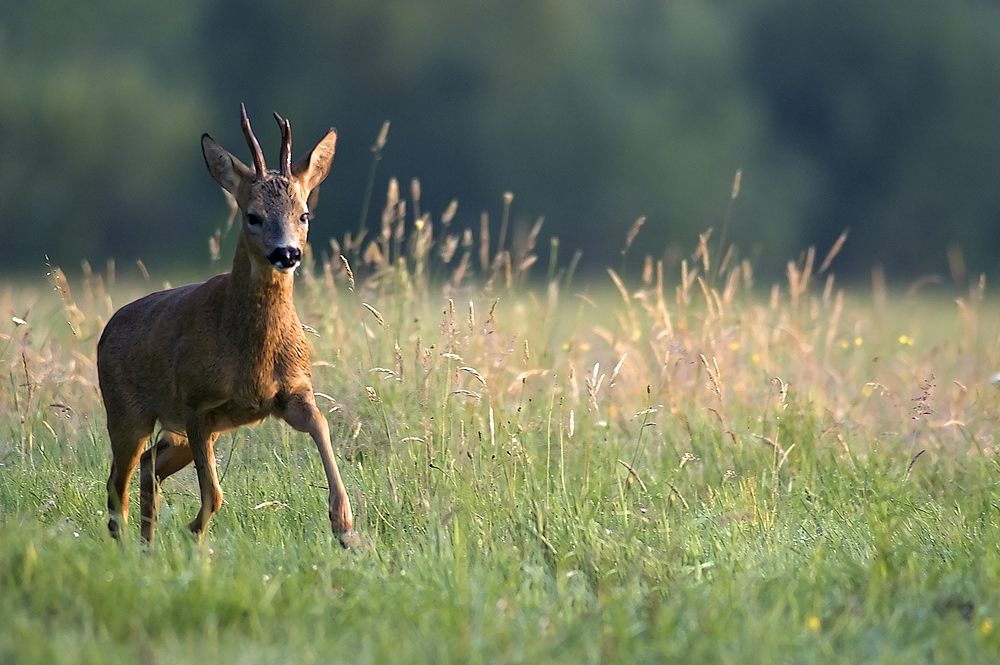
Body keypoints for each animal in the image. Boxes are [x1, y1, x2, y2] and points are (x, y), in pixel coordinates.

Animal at [97, 104, 356, 548]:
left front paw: (343, 523)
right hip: (127, 412)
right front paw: (194, 531)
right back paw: (126, 547)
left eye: (304, 214)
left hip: (178, 432)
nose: (287, 253)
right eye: (253, 216)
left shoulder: (291, 392)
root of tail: (107, 329)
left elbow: (322, 425)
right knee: (117, 482)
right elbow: (214, 493)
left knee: (147, 467)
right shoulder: (197, 404)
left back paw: (147, 546)